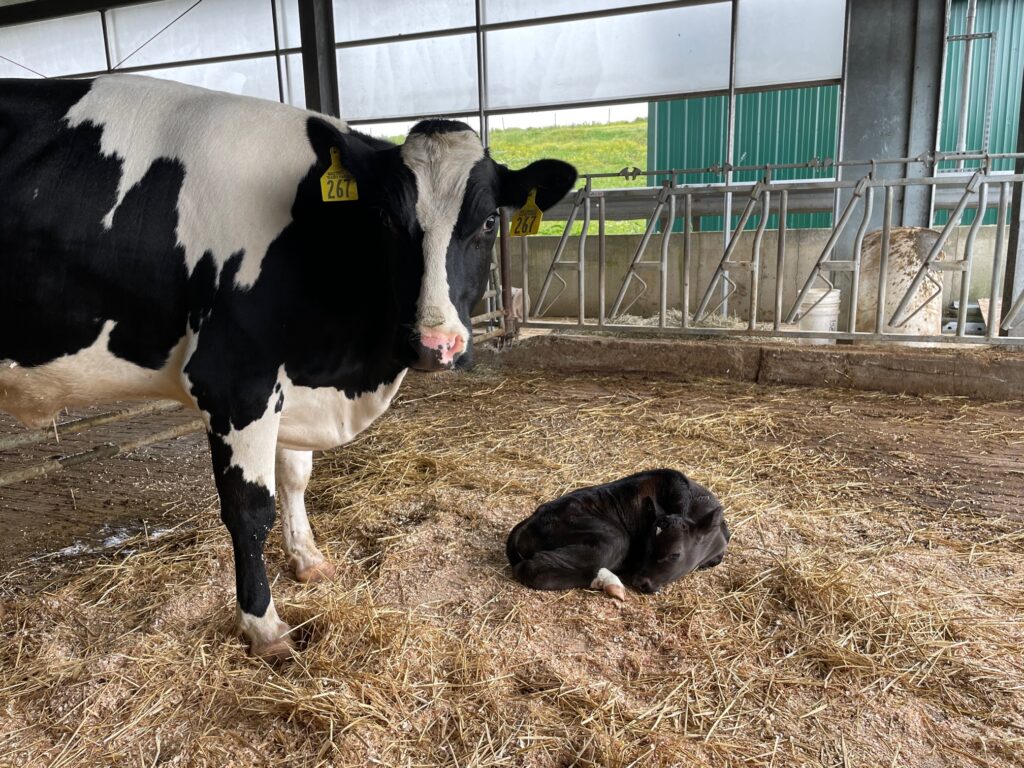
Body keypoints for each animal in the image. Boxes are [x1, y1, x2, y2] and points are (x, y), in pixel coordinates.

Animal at [0, 75, 577, 659]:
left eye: (488, 221)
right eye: (388, 219)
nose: (436, 344)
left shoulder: (291, 382)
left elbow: (296, 477)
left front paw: (307, 559)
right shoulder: (233, 382)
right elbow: (250, 508)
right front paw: (263, 625)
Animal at [503, 468, 729, 602]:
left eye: (675, 554)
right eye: (646, 546)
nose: (639, 582)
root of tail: (530, 520)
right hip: (613, 538)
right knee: (531, 568)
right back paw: (609, 581)